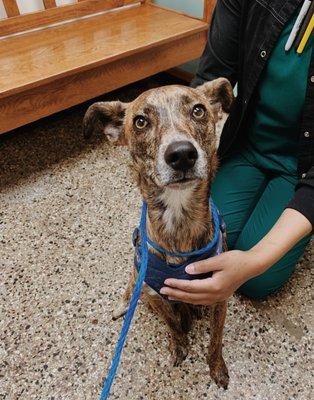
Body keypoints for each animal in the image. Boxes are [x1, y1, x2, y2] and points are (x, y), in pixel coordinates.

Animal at [83, 78, 233, 388]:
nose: (182, 154)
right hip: (136, 277)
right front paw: (180, 345)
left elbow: (216, 338)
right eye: (140, 121)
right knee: (131, 288)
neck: (179, 217)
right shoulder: (153, 294)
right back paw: (124, 305)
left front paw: (216, 367)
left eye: (198, 110)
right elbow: (172, 324)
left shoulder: (221, 294)